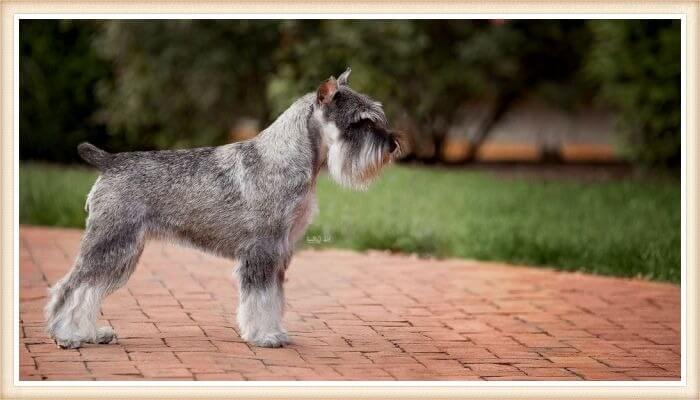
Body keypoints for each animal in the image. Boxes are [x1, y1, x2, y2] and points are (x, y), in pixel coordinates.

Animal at [45, 68, 400, 346]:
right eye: (359, 123)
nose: (393, 143)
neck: (287, 158)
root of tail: (110, 162)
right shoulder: (262, 250)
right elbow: (260, 298)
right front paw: (264, 336)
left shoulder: (280, 252)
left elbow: (274, 298)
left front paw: (274, 332)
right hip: (111, 242)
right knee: (71, 287)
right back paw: (67, 335)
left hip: (122, 250)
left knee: (89, 289)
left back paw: (90, 333)